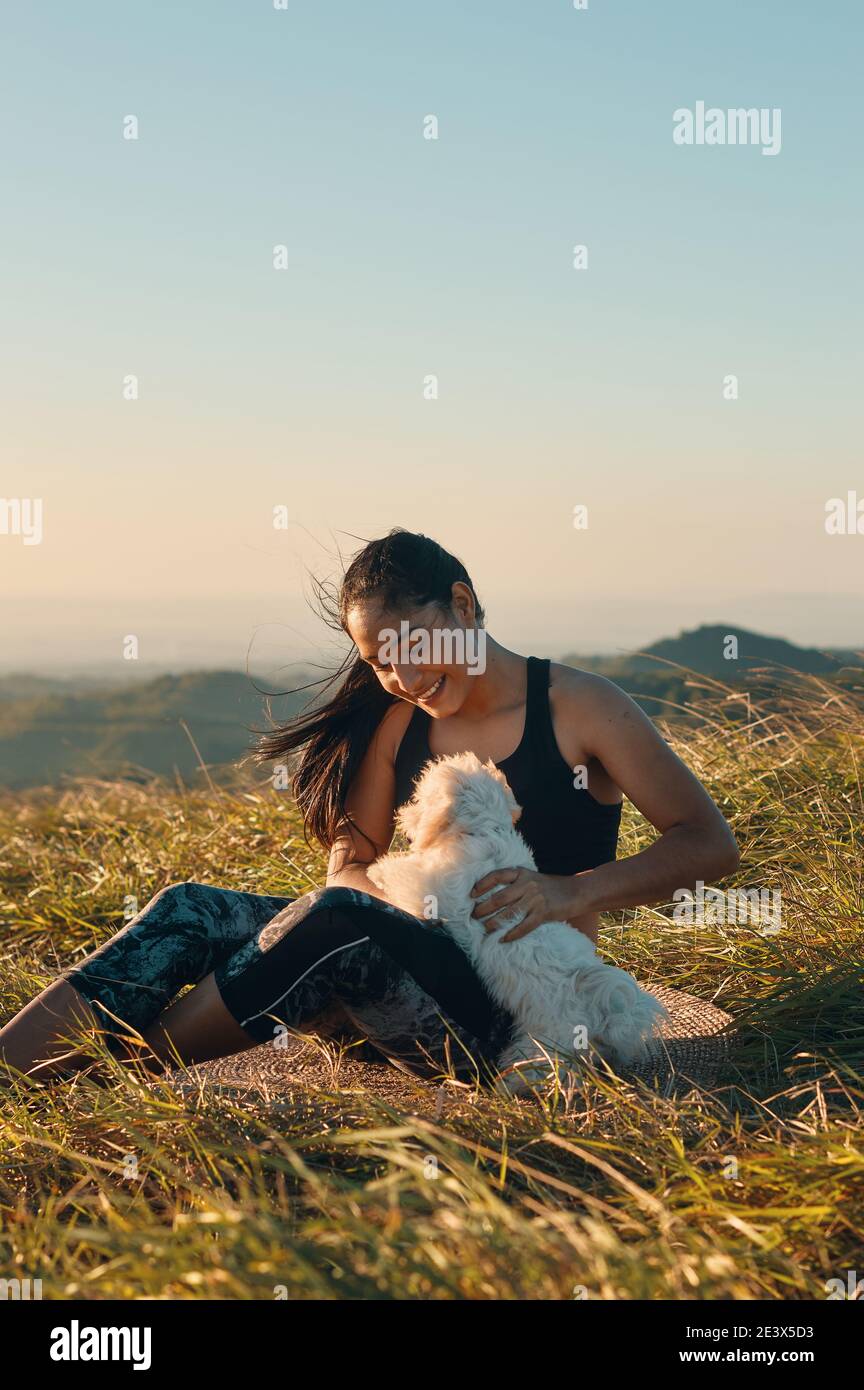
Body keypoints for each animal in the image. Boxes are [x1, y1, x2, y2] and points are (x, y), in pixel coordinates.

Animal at [369, 756, 666, 1089]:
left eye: (419, 799)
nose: (403, 815)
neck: (484, 831)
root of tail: (599, 1007)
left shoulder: (432, 890)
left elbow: (403, 874)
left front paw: (377, 870)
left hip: (547, 1039)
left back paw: (514, 1082)